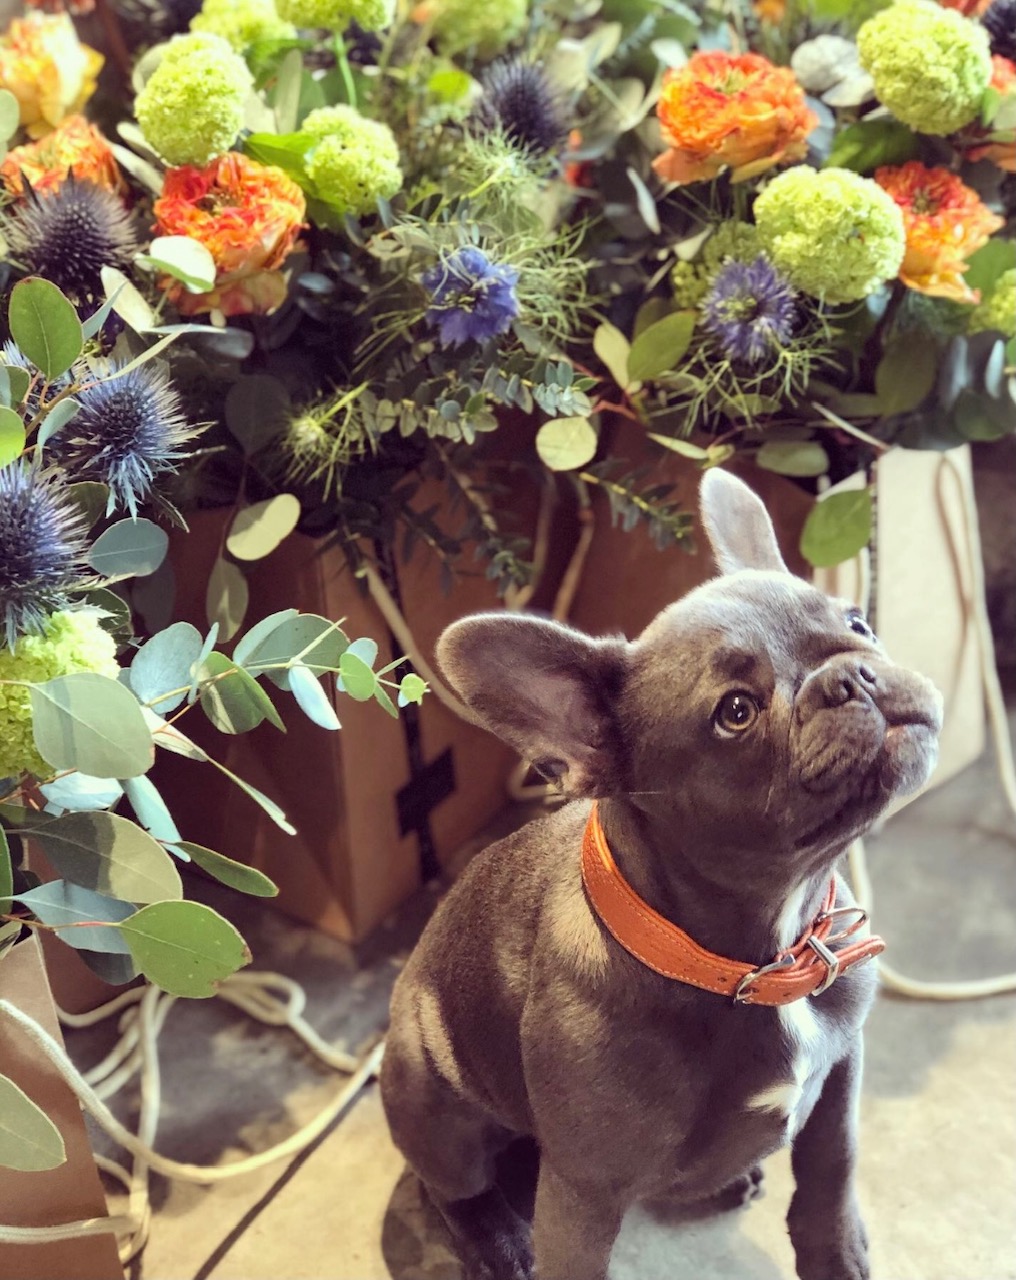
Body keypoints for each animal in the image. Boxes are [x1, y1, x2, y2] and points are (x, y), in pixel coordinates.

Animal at [381, 469, 943, 1280]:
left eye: (859, 621)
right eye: (736, 713)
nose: (853, 674)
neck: (760, 961)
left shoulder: (842, 1072)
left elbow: (832, 1166)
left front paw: (837, 1253)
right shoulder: (581, 1196)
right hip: (426, 1088)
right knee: (450, 1183)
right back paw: (496, 1240)